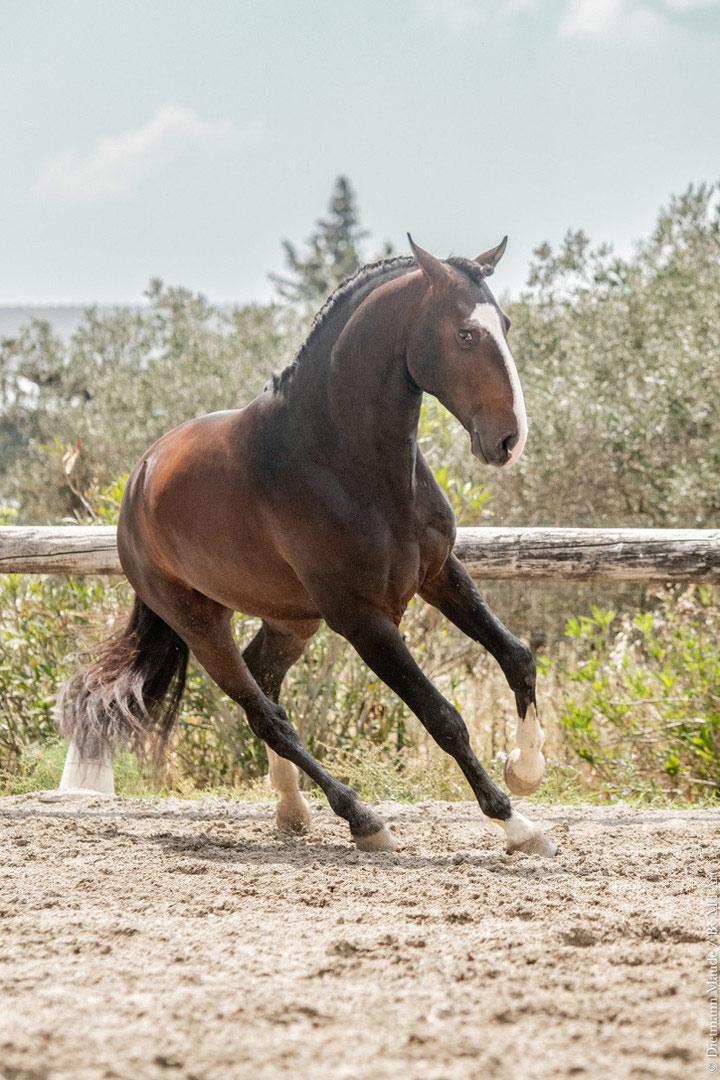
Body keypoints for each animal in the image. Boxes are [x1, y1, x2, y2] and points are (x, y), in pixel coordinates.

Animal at [57, 235, 556, 858]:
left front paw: (526, 771)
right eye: (465, 334)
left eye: (505, 325)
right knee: (265, 713)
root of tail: (138, 483)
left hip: (293, 620)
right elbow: (443, 717)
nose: (508, 440)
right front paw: (516, 823)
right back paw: (362, 819)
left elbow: (517, 656)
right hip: (201, 625)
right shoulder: (362, 619)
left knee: (266, 682)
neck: (345, 461)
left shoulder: (440, 574)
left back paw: (293, 810)